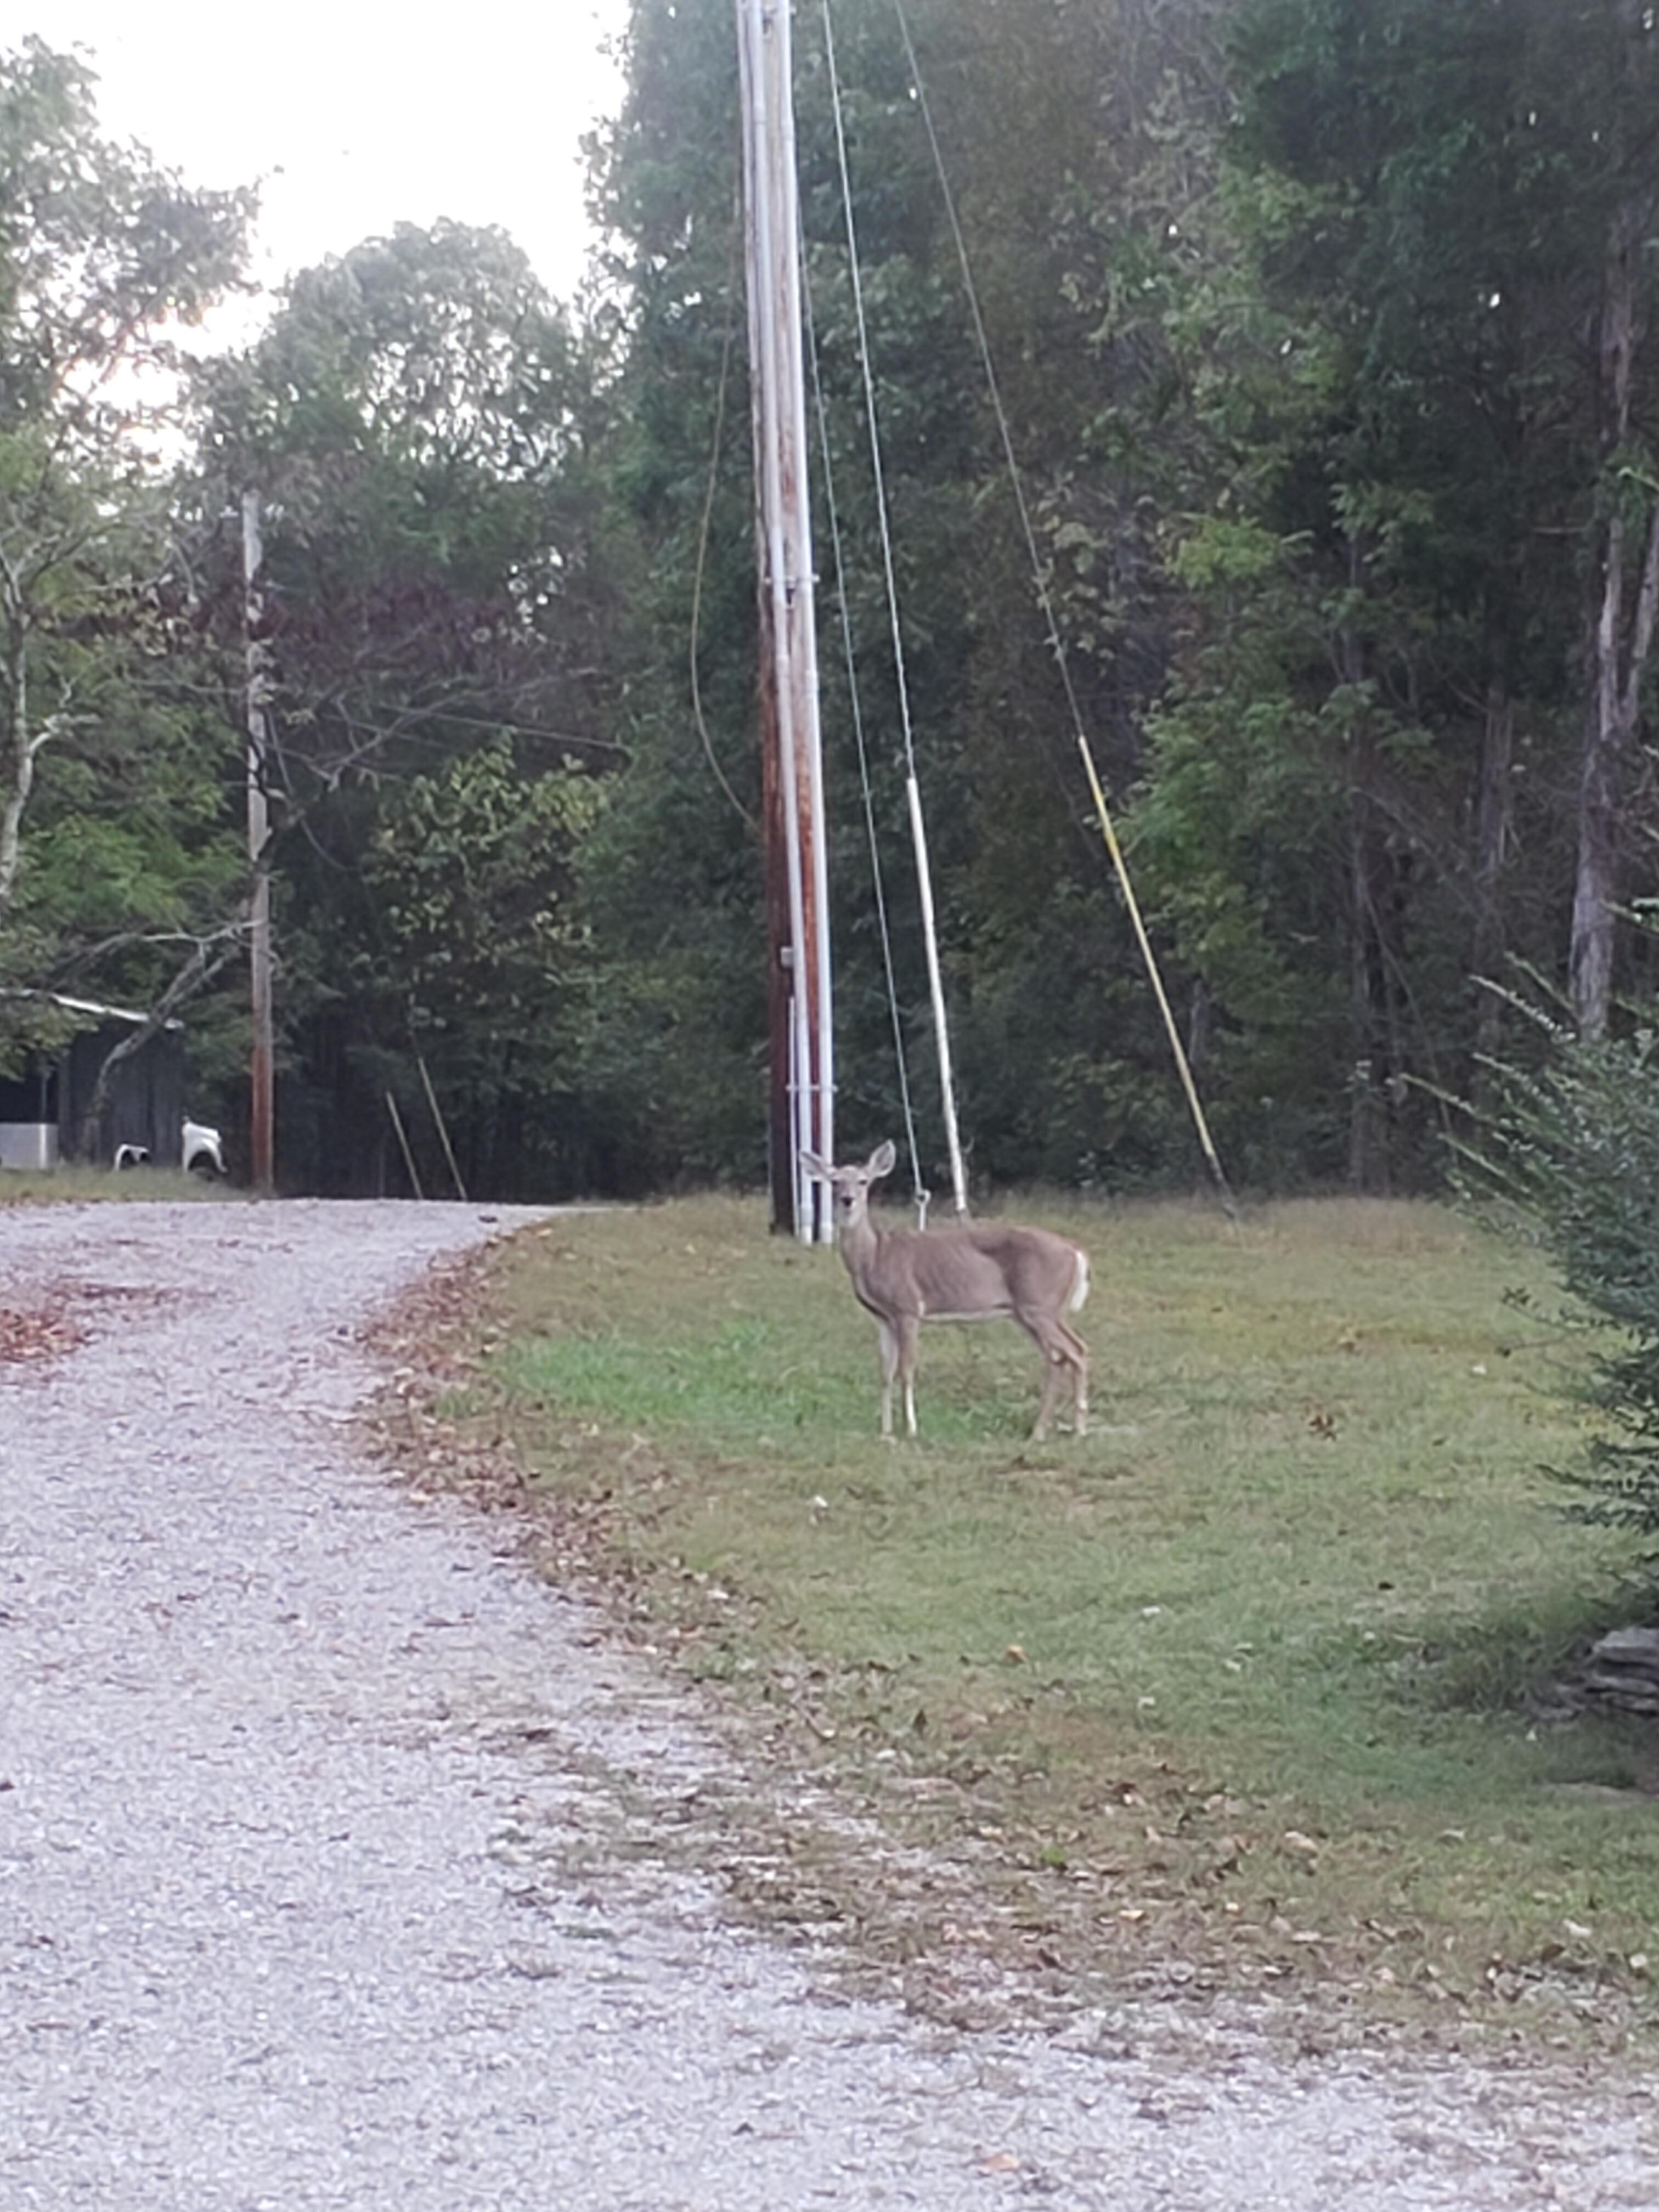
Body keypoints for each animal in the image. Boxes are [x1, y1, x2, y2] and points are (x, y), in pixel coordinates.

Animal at [801, 1140, 1090, 1441]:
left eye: (863, 1181)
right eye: (835, 1181)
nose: (848, 1199)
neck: (875, 1255)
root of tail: (1076, 1251)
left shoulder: (908, 1308)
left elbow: (906, 1370)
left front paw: (911, 1429)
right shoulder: (883, 1318)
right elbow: (885, 1372)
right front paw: (885, 1431)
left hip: (1040, 1305)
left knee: (1077, 1350)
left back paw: (1079, 1429)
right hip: (1029, 1312)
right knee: (1058, 1357)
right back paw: (1039, 1431)